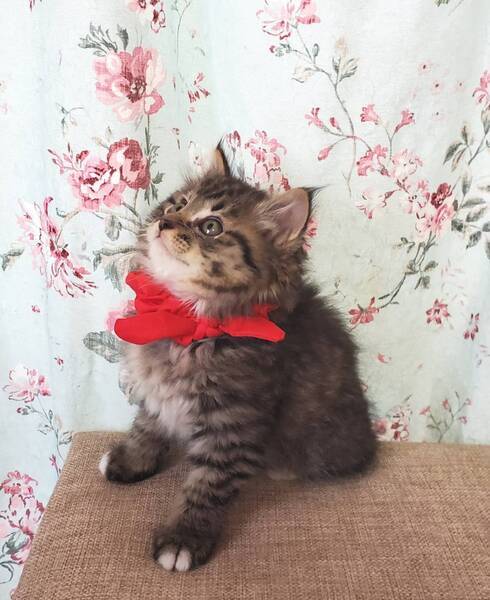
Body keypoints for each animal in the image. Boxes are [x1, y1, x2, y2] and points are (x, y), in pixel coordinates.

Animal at [98, 145, 377, 572]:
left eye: (211, 227)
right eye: (177, 203)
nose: (164, 221)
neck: (187, 322)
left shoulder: (231, 423)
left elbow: (207, 485)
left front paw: (184, 538)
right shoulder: (158, 397)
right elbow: (146, 427)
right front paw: (131, 461)